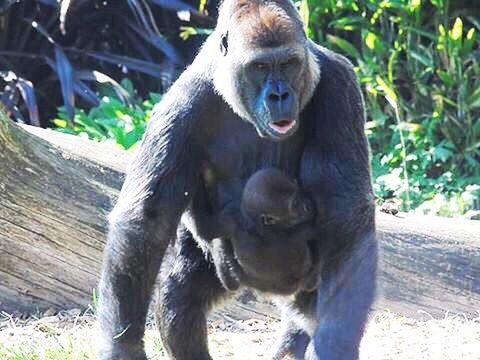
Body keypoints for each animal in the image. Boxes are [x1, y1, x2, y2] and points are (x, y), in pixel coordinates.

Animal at [96, 0, 376, 360]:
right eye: (260, 67)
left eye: (288, 64)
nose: (279, 95)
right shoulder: (181, 103)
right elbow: (149, 218)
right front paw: (122, 346)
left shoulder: (339, 84)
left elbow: (344, 212)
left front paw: (334, 340)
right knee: (179, 296)